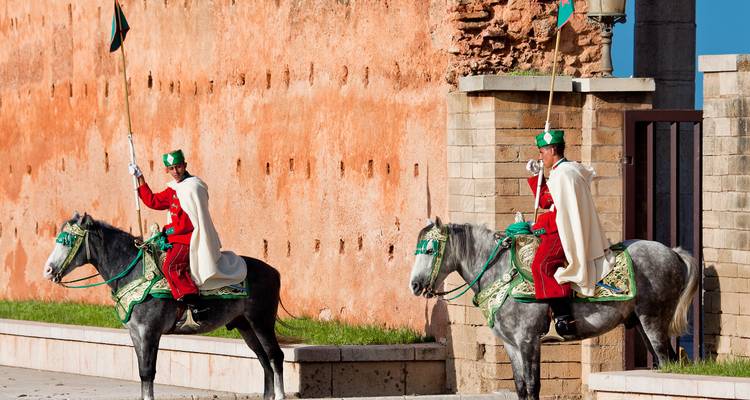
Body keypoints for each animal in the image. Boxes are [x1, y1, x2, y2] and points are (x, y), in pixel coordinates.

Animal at [42, 213, 285, 400]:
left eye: (67, 240)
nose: (48, 270)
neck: (135, 271)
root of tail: (274, 271)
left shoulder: (150, 332)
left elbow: (148, 372)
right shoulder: (135, 334)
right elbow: (142, 372)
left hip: (261, 321)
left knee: (275, 356)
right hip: (245, 325)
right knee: (264, 360)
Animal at [409, 218, 699, 400]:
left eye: (431, 250)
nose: (414, 285)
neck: (502, 274)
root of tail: (672, 252)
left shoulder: (528, 341)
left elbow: (533, 386)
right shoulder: (511, 345)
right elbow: (521, 387)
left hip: (653, 321)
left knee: (668, 363)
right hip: (640, 323)